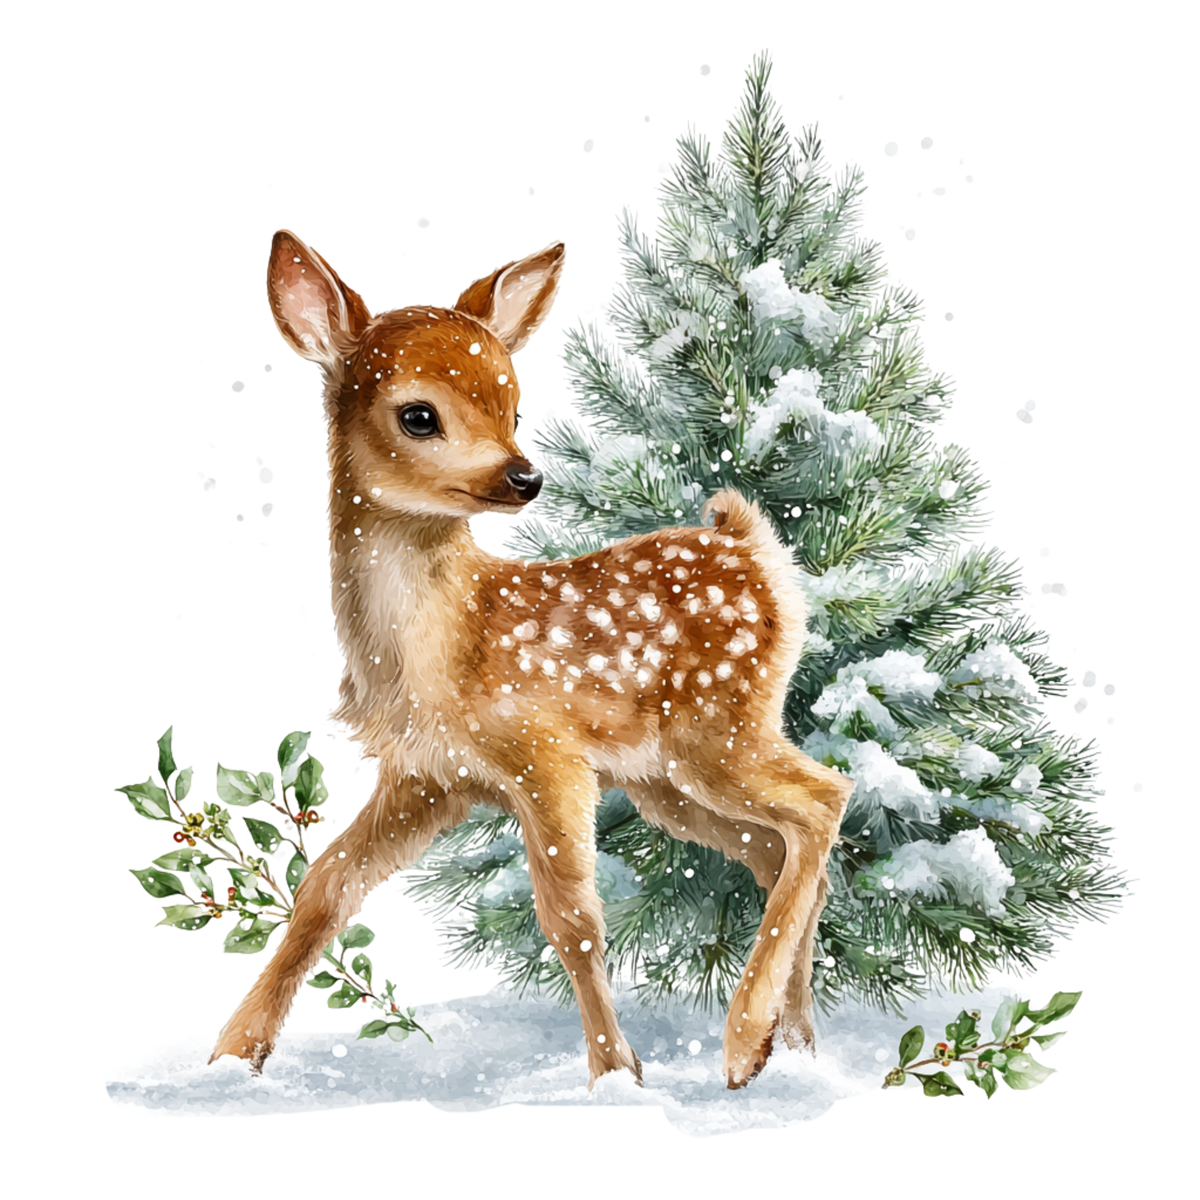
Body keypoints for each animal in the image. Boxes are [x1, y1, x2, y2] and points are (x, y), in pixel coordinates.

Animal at [208, 225, 855, 1091]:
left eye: (515, 401)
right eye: (419, 415)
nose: (523, 475)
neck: (438, 653)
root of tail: (754, 549)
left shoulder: (546, 754)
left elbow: (574, 921)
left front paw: (615, 1076)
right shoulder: (426, 776)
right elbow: (326, 888)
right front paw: (230, 1058)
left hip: (715, 727)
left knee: (823, 799)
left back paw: (746, 1039)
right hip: (666, 777)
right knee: (774, 849)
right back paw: (794, 1052)